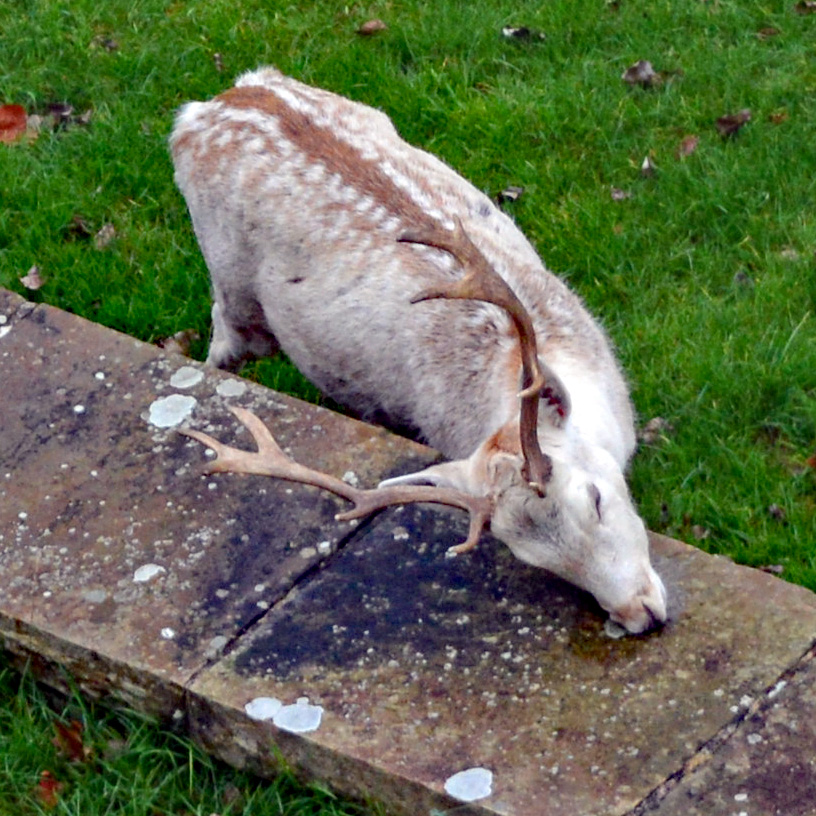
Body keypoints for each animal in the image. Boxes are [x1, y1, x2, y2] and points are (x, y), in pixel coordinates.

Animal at [170, 67, 667, 635]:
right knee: (222, 338)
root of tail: (201, 109)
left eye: (597, 498)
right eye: (535, 558)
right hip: (233, 291)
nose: (640, 616)